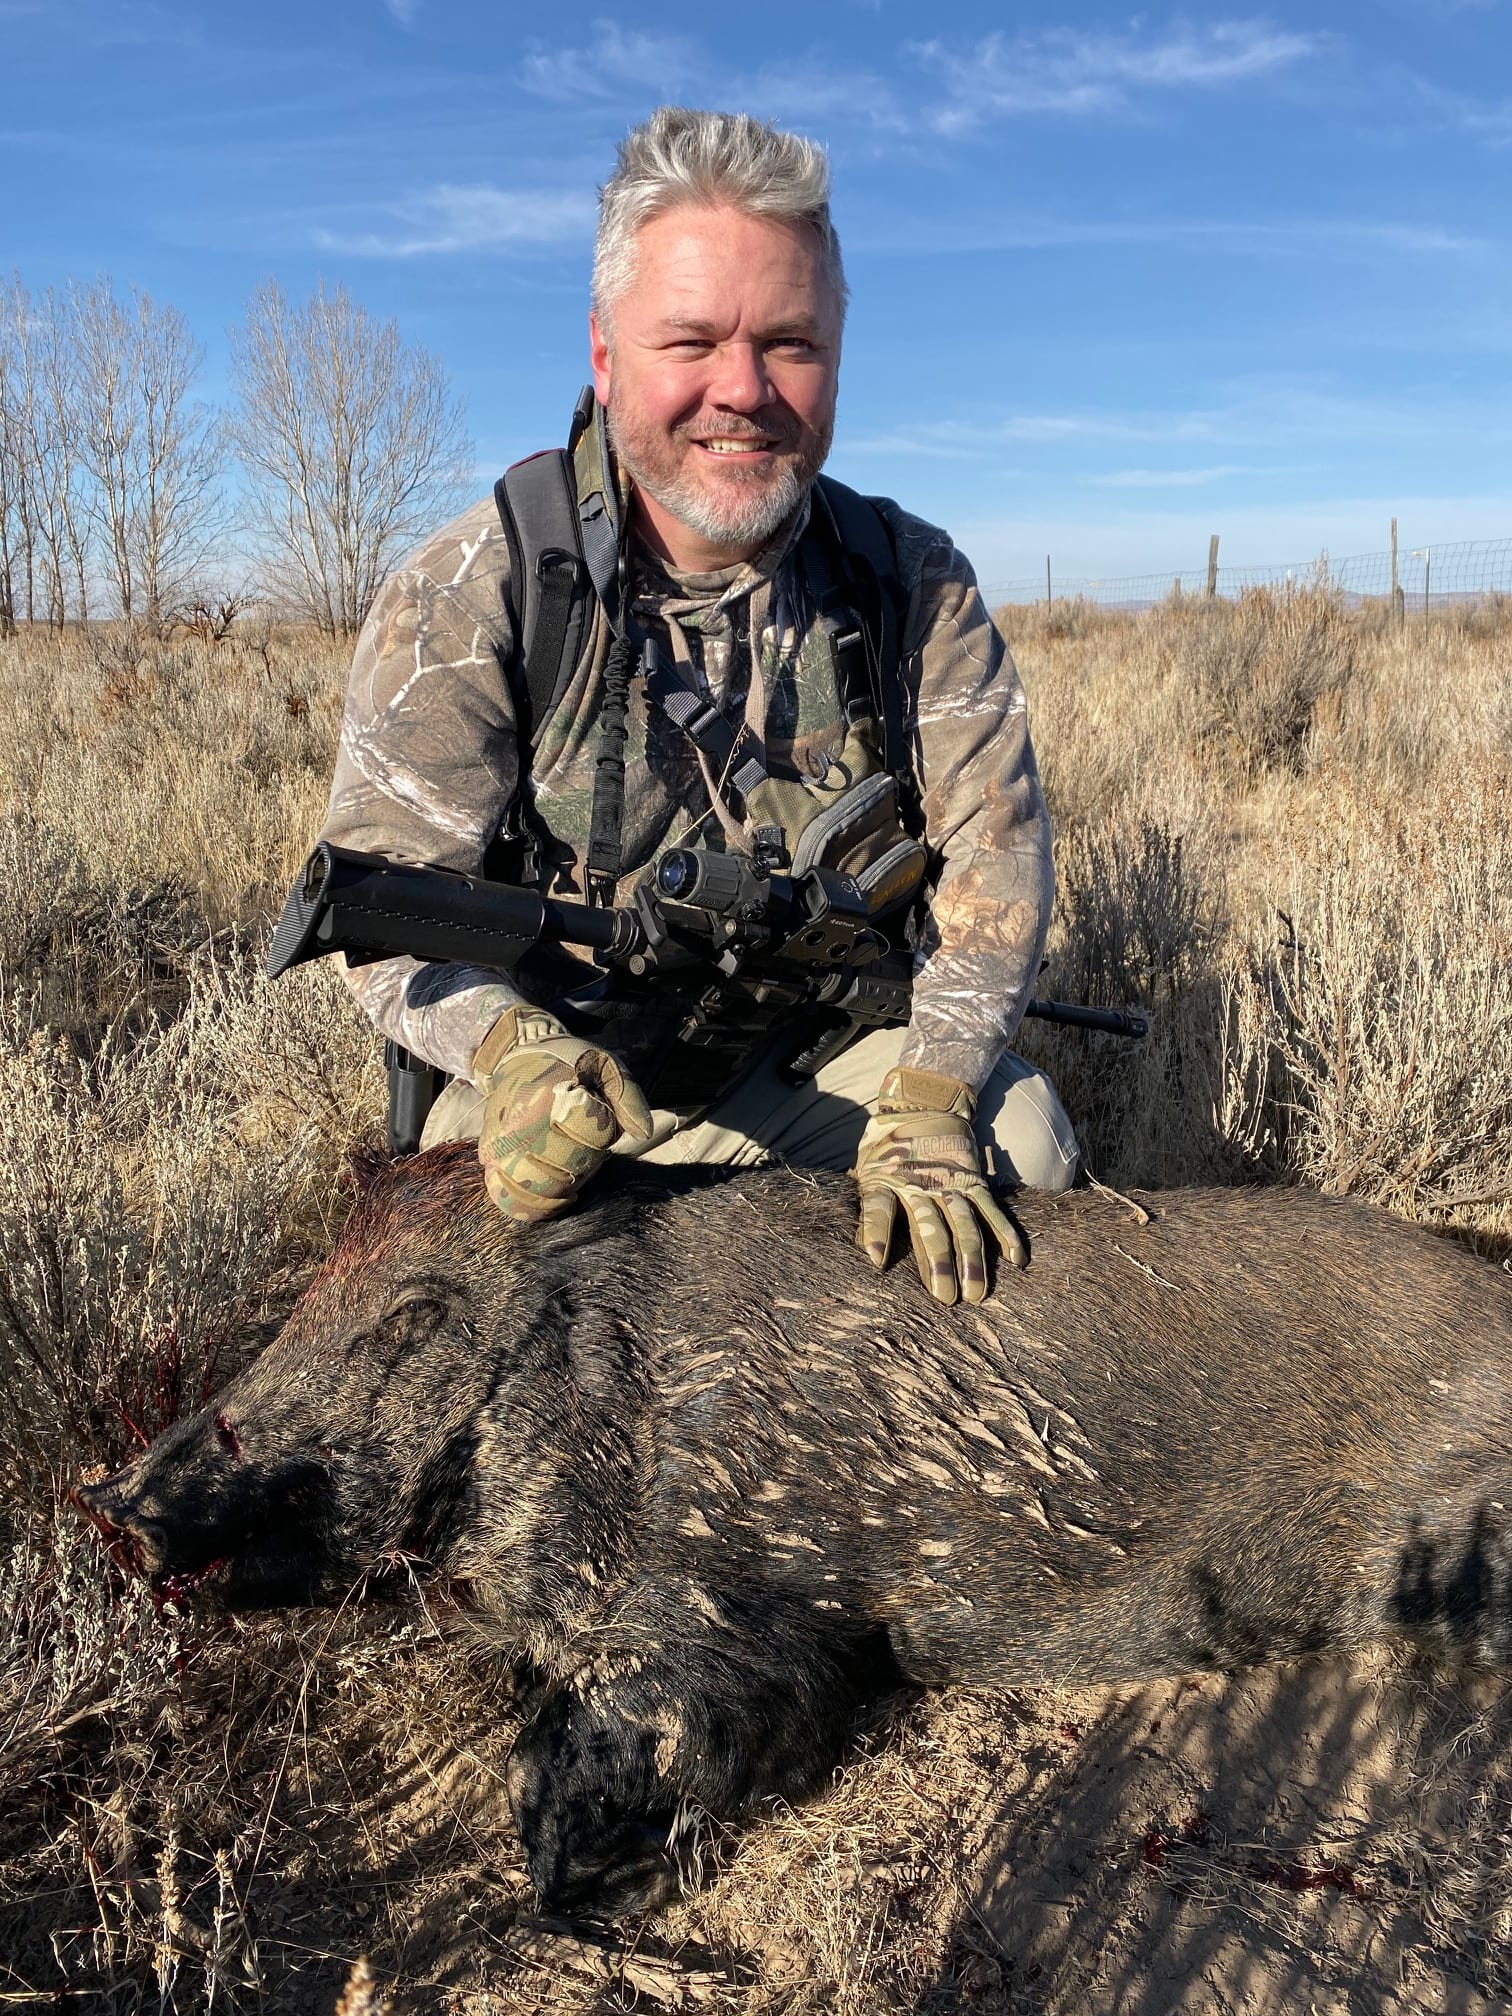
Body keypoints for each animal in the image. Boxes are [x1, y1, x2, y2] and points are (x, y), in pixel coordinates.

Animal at [74, 1144, 1512, 1918]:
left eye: (411, 1316)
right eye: (309, 1292)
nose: (115, 1506)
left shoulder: (761, 1624)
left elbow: (599, 1759)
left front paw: (570, 1880)